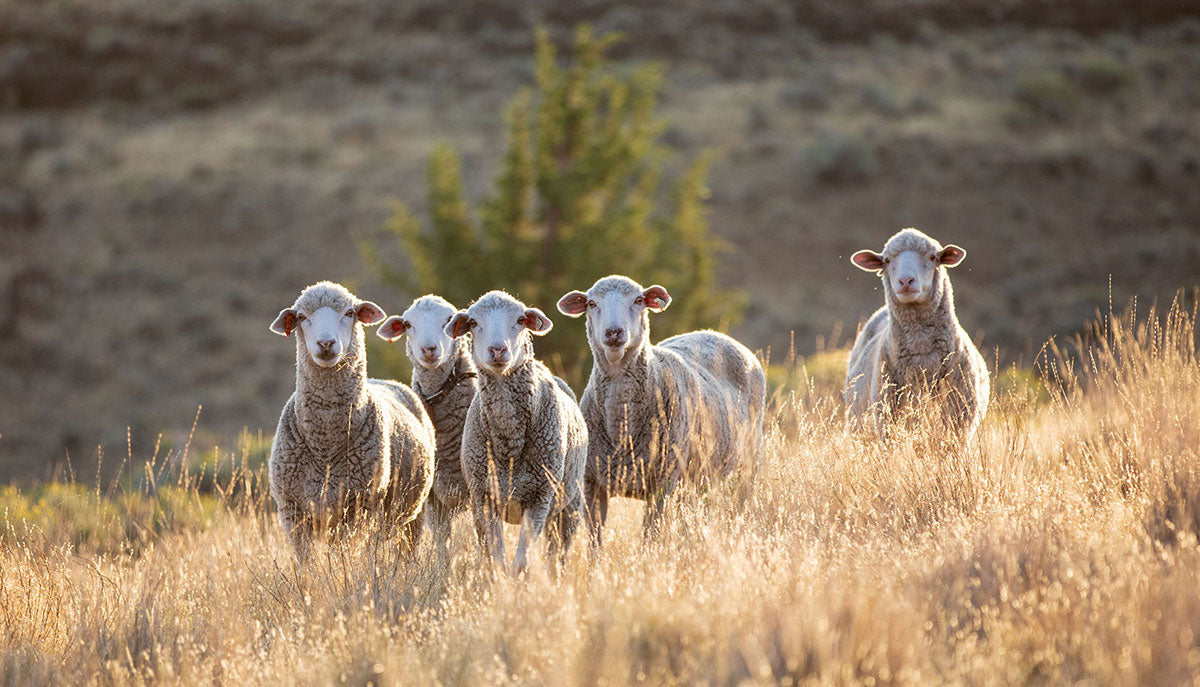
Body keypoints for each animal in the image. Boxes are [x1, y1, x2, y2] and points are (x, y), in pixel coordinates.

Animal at [268, 281, 435, 561]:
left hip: (414, 512)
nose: (326, 343)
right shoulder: (294, 513)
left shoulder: (359, 506)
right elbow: (308, 564)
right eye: (301, 317)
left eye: (349, 313)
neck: (325, 443)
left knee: (405, 550)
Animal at [444, 290, 587, 574]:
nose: (498, 349)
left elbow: (521, 562)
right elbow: (497, 559)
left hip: (569, 505)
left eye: (521, 319)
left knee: (557, 555)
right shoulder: (486, 497)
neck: (509, 441)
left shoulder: (540, 498)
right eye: (473, 322)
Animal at [556, 275, 767, 543]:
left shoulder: (663, 482)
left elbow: (651, 534)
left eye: (638, 300)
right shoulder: (591, 483)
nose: (614, 332)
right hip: (699, 477)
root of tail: (713, 333)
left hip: (747, 463)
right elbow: (595, 539)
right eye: (591, 303)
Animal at [844, 228, 990, 441]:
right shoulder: (887, 420)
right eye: (887, 260)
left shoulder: (959, 423)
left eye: (932, 257)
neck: (923, 352)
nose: (906, 281)